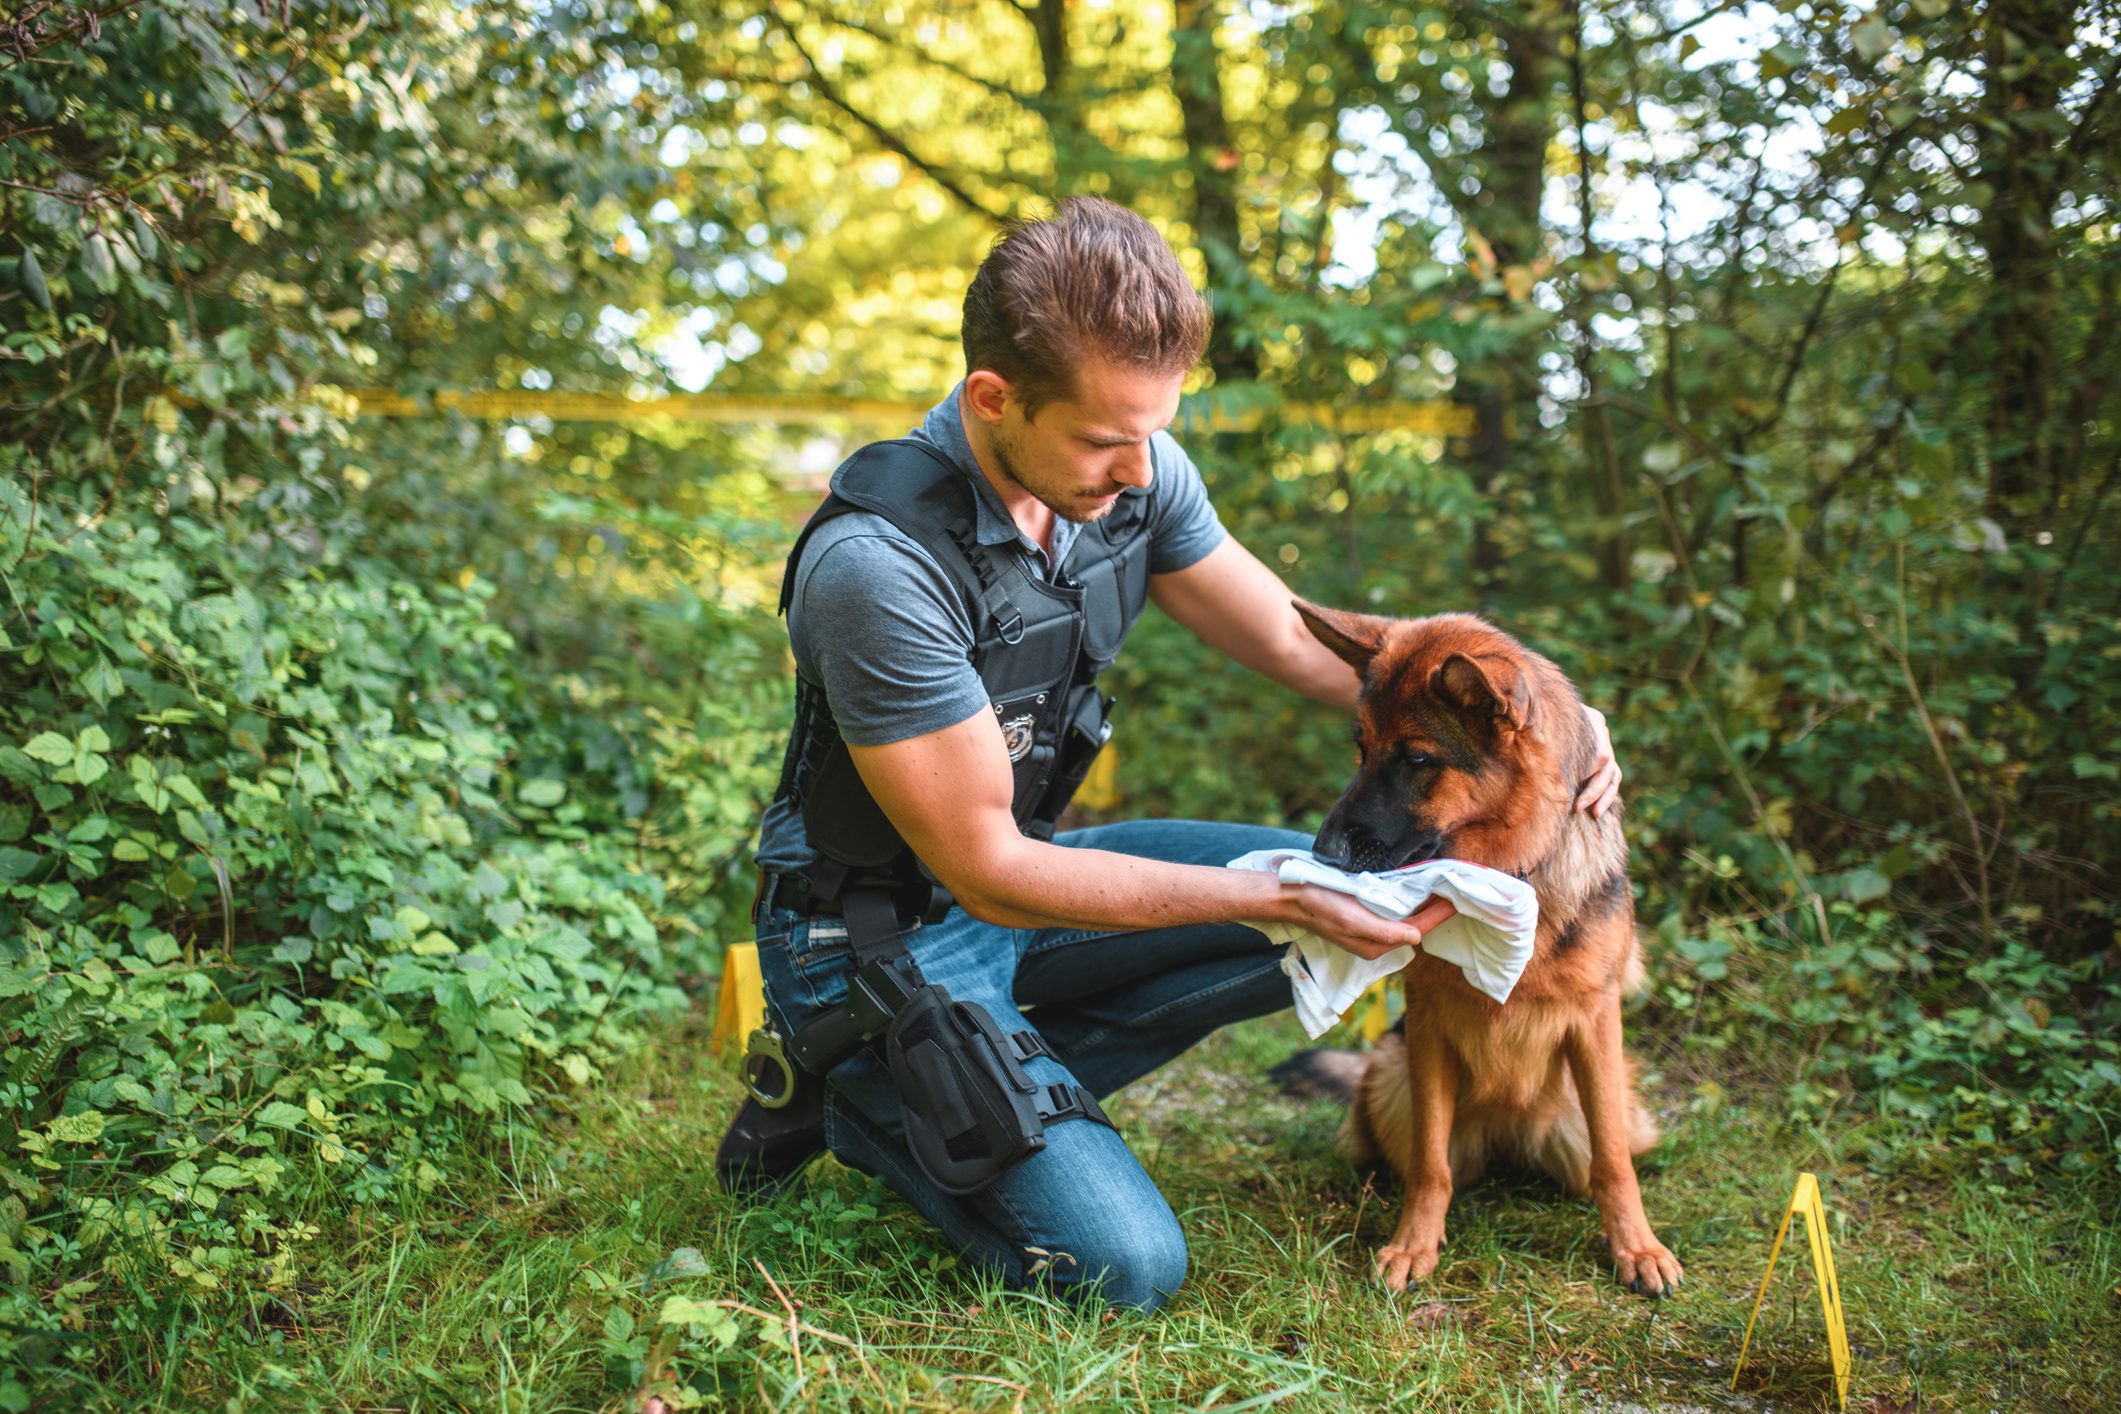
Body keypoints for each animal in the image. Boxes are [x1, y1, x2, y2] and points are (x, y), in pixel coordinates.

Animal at [1272, 602, 1688, 1297]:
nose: (1323, 855)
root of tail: (1507, 1138)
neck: (1514, 870)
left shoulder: (1596, 1024)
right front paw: (1413, 1244)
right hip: (1390, 1081)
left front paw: (1637, 1247)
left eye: (1416, 760)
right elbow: (1429, 1164)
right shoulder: (1427, 1026)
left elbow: (1612, 1161)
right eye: (1362, 749)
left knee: (1604, 1154)